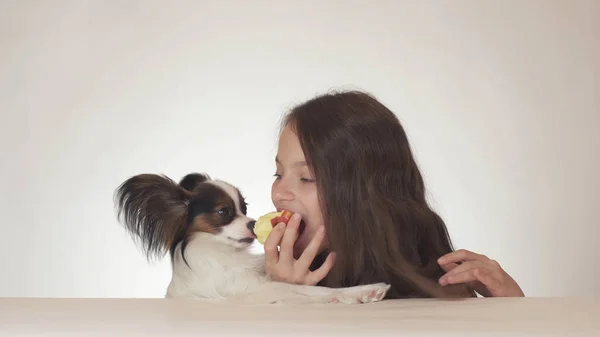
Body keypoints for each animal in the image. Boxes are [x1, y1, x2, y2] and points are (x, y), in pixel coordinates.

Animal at [114, 172, 392, 304]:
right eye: (224, 212)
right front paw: (360, 292)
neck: (225, 257)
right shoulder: (250, 291)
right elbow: (305, 289)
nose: (251, 223)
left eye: (244, 207)